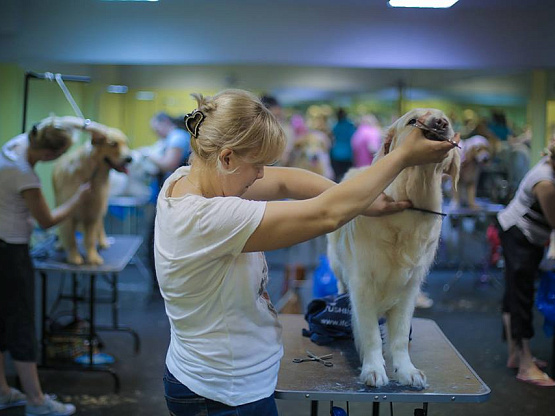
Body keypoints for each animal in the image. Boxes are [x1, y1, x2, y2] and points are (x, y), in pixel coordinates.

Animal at [54, 125, 132, 264]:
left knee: (99, 225)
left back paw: (102, 242)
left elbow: (90, 239)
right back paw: (61, 245)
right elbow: (70, 238)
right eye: (113, 144)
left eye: (126, 144)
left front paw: (92, 257)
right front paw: (74, 257)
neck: (91, 174)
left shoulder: (93, 212)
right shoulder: (68, 214)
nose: (129, 158)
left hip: (101, 206)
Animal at [326, 109, 460, 388]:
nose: (440, 123)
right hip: (338, 267)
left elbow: (398, 337)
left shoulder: (409, 289)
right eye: (413, 121)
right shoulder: (363, 286)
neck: (411, 209)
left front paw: (406, 370)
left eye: (447, 121)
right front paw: (374, 369)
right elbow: (371, 335)